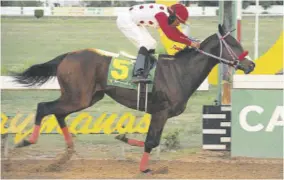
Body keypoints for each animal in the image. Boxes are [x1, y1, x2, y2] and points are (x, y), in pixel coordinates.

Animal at [12, 24, 255, 174]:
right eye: (234, 45)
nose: (251, 64)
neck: (180, 71)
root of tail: (68, 55)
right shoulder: (160, 112)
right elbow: (151, 141)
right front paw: (144, 168)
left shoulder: (161, 114)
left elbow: (151, 140)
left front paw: (123, 137)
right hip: (77, 97)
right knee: (44, 107)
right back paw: (27, 141)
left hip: (86, 97)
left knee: (58, 113)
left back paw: (68, 151)